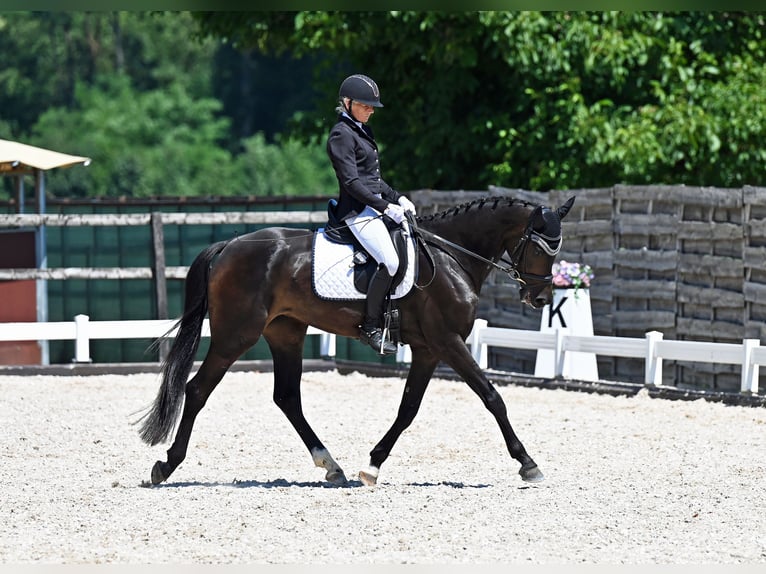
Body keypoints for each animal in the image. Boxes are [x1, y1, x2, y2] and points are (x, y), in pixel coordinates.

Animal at [136, 194, 575, 486]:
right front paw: (528, 463)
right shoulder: (448, 342)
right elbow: (492, 396)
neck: (452, 257)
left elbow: (408, 409)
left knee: (287, 397)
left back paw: (332, 466)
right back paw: (166, 466)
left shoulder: (428, 349)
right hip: (236, 335)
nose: (540, 299)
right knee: (197, 390)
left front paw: (372, 465)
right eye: (540, 247)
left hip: (286, 332)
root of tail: (229, 245)